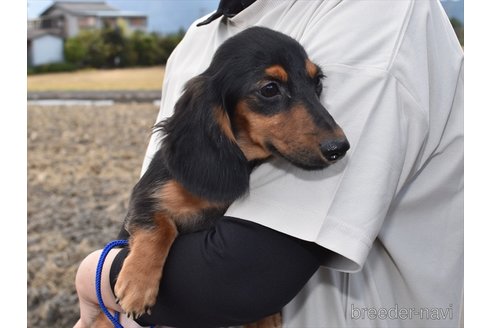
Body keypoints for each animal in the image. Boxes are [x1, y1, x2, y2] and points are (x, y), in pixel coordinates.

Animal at [112, 26, 350, 326]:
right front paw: (137, 285)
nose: (339, 147)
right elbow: (160, 227)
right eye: (270, 89)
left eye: (316, 82)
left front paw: (266, 318)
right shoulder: (148, 196)